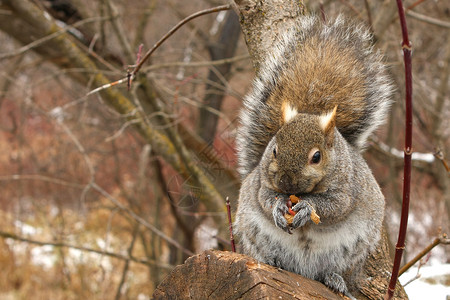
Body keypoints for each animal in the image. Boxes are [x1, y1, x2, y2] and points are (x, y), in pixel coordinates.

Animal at [234, 14, 392, 296]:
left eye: (316, 157)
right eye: (274, 150)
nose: (286, 182)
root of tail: (304, 270)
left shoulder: (347, 189)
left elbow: (335, 206)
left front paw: (308, 209)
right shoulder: (262, 183)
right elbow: (264, 197)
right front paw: (278, 206)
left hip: (353, 252)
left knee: (335, 271)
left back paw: (335, 279)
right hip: (252, 233)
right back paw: (272, 260)